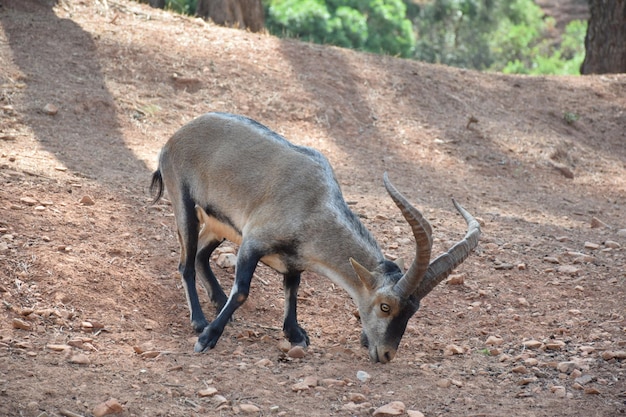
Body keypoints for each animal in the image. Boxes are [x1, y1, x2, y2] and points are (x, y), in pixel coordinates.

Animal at [150, 112, 478, 362]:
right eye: (385, 306)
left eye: (414, 310)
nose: (386, 354)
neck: (315, 205)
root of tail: (174, 137)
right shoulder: (253, 242)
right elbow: (242, 291)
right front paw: (208, 338)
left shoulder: (293, 260)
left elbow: (292, 289)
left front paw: (295, 333)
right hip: (183, 202)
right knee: (186, 263)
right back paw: (199, 320)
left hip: (218, 226)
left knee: (201, 254)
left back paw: (218, 300)